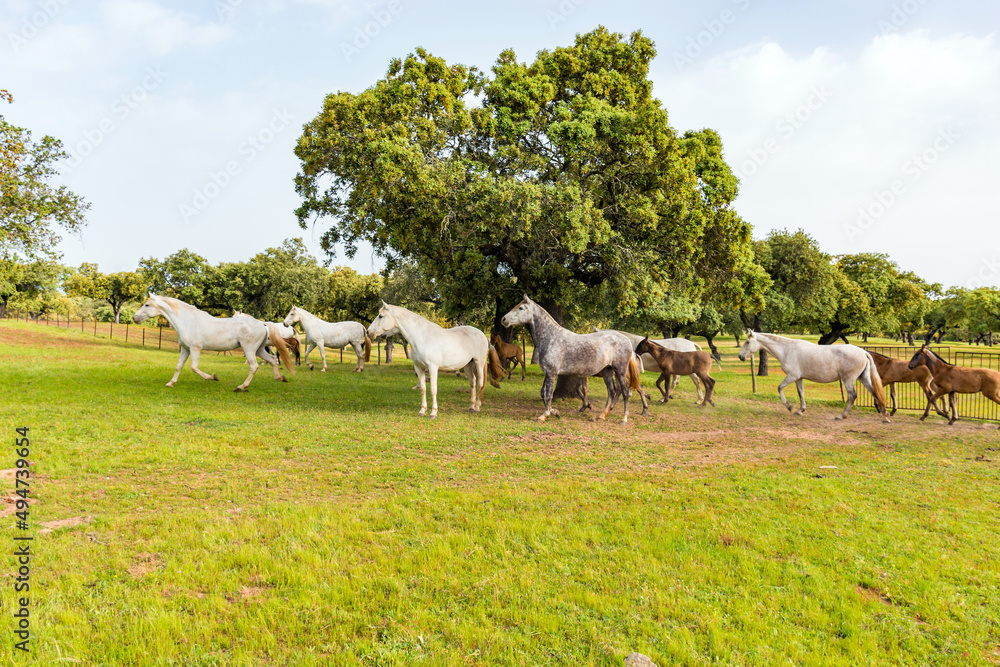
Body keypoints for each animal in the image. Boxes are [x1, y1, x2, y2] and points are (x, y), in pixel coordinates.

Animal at [132, 294, 294, 391]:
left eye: (147, 305)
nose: (134, 318)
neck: (188, 321)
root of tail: (263, 324)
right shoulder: (185, 349)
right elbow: (179, 366)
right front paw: (171, 383)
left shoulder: (195, 349)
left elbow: (194, 367)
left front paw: (212, 377)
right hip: (259, 349)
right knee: (272, 360)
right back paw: (280, 378)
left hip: (249, 350)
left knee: (254, 366)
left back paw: (241, 387)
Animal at [367, 302, 503, 417]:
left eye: (380, 316)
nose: (369, 332)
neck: (422, 337)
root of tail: (482, 335)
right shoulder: (419, 368)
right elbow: (423, 388)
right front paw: (422, 411)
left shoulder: (432, 368)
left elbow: (433, 389)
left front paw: (433, 413)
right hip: (468, 365)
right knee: (473, 382)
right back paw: (471, 407)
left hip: (479, 362)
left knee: (480, 383)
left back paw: (477, 408)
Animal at [501, 296, 647, 424]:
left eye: (521, 308)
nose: (503, 319)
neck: (551, 338)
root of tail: (627, 341)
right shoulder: (548, 373)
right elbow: (543, 393)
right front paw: (555, 412)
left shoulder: (552, 373)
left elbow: (548, 395)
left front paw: (544, 416)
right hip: (607, 371)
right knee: (612, 392)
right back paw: (602, 416)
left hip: (620, 372)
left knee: (625, 393)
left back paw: (624, 419)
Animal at [738, 330, 889, 422]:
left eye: (747, 342)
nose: (740, 356)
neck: (787, 350)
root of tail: (863, 352)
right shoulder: (798, 378)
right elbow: (801, 394)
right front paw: (800, 410)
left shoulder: (792, 376)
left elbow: (780, 388)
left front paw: (789, 406)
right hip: (863, 378)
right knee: (875, 392)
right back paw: (885, 416)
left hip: (848, 380)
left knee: (852, 396)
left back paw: (841, 416)